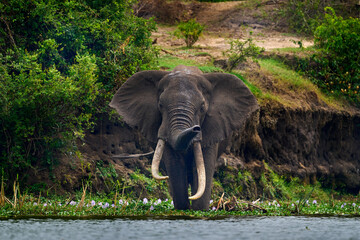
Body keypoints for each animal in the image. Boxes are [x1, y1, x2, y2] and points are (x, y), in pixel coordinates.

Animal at [109, 65, 258, 210]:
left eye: (202, 107)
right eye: (160, 105)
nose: (196, 128)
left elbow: (203, 165)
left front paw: (199, 210)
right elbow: (175, 164)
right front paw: (183, 209)